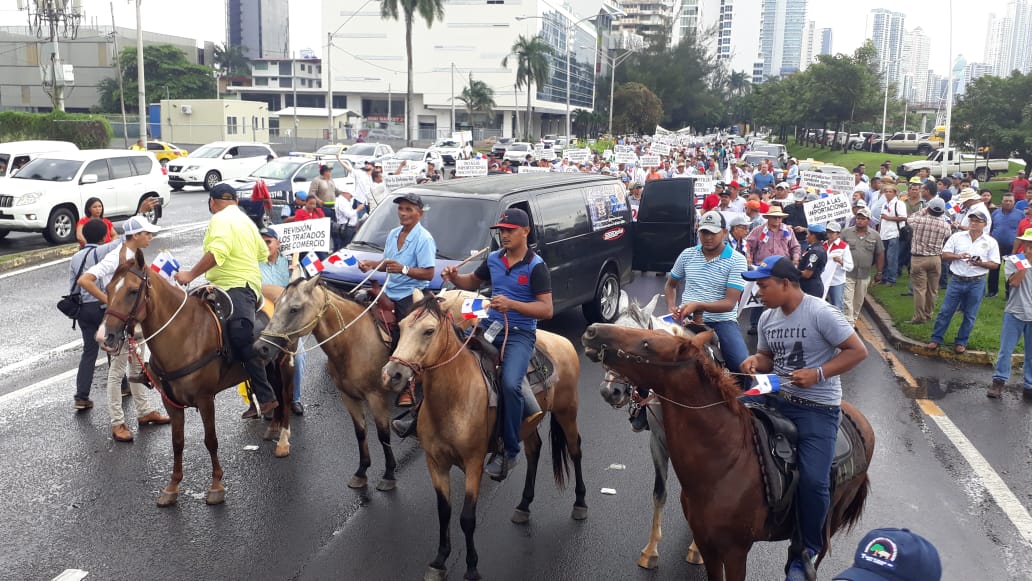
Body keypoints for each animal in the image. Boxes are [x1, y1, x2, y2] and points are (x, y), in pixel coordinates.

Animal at [99, 249, 295, 509]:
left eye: (132, 291)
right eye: (109, 288)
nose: (107, 337)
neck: (183, 336)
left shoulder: (205, 399)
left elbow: (210, 440)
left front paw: (216, 486)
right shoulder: (171, 403)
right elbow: (177, 443)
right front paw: (172, 487)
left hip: (285, 363)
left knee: (286, 396)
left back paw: (283, 441)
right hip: (270, 366)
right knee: (274, 392)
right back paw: (273, 426)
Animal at [253, 274, 398, 491]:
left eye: (294, 308)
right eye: (276, 304)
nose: (261, 347)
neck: (355, 343)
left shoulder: (377, 396)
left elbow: (383, 435)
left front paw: (389, 474)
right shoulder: (348, 397)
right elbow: (360, 432)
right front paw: (361, 471)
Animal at [381, 297, 590, 581]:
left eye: (428, 331)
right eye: (400, 327)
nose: (391, 374)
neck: (454, 398)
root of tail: (564, 342)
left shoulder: (473, 463)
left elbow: (467, 518)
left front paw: (471, 568)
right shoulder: (435, 462)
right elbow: (444, 512)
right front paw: (439, 561)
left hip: (567, 411)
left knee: (575, 449)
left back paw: (580, 503)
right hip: (527, 424)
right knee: (534, 450)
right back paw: (523, 505)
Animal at [582, 326, 871, 581]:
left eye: (646, 344)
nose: (592, 330)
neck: (727, 460)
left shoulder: (735, 552)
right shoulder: (707, 543)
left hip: (828, 522)